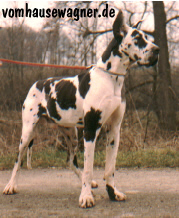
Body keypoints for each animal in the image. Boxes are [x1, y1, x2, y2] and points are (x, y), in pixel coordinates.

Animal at [3, 10, 159, 208]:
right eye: (137, 38)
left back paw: (90, 183)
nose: (157, 50)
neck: (111, 79)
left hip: (71, 134)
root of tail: (36, 83)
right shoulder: (91, 129)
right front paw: (86, 197)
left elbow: (110, 168)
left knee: (70, 161)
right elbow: (89, 166)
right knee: (18, 159)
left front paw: (112, 192)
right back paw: (10, 185)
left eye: (147, 37)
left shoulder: (114, 130)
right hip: (28, 132)